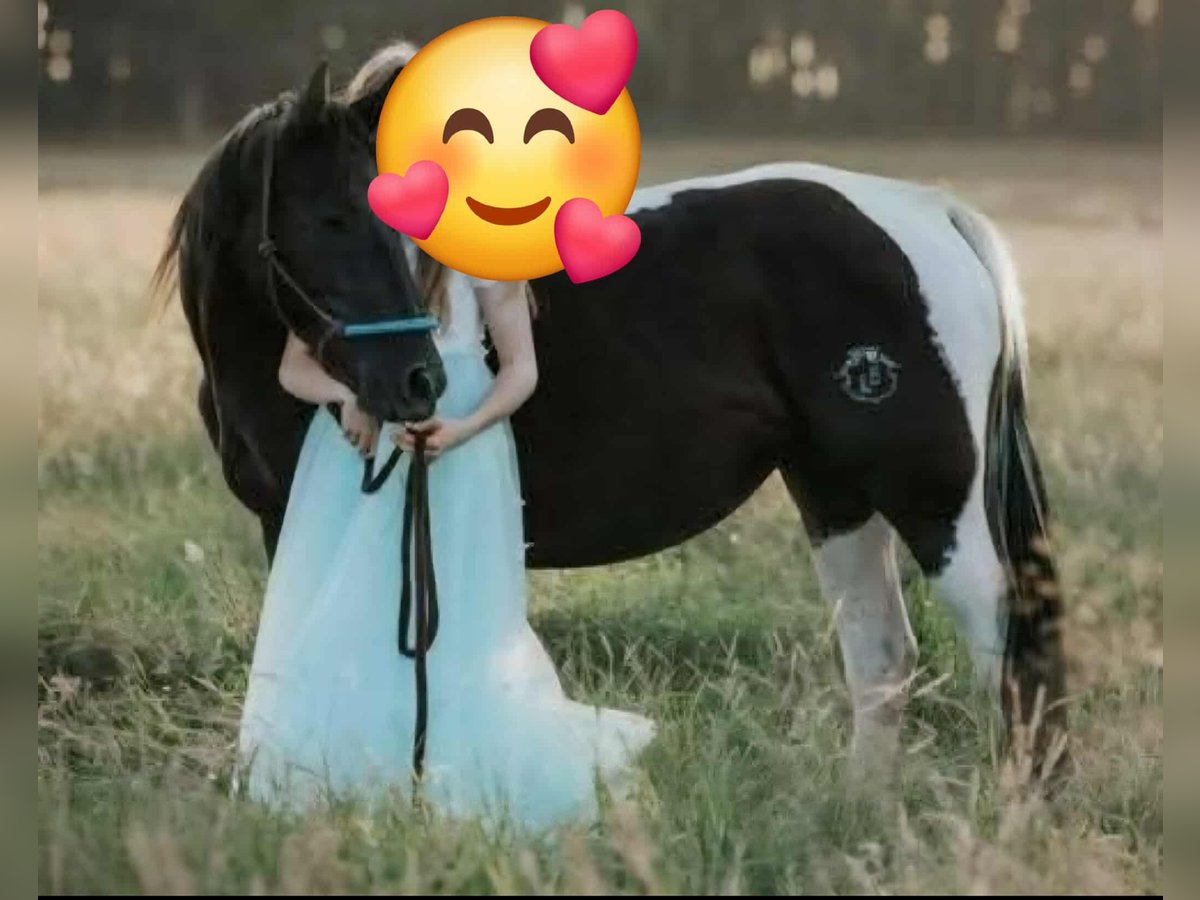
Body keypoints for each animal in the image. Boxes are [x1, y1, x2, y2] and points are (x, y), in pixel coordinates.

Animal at [155, 63, 1067, 778]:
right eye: (334, 218)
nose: (416, 381)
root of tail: (926, 211)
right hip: (836, 494)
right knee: (883, 655)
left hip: (931, 498)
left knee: (1004, 646)